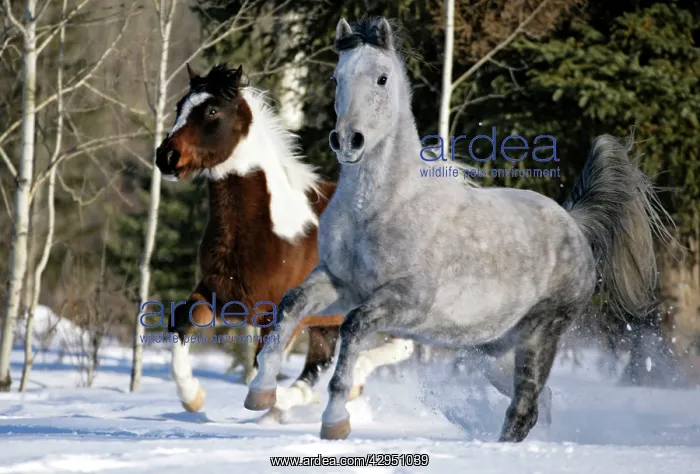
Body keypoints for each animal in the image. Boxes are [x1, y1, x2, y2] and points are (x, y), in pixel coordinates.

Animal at [154, 63, 414, 418]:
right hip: (327, 323)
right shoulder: (219, 295)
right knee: (320, 364)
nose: (166, 157)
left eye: (211, 110)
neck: (270, 231)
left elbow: (263, 366)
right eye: (181, 106)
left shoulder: (277, 314)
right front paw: (193, 397)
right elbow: (182, 323)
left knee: (400, 346)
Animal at [244, 17, 674, 442]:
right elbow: (291, 304)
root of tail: (574, 223)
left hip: (540, 333)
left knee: (525, 409)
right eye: (336, 78)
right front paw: (259, 393)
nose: (348, 140)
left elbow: (353, 328)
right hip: (493, 351)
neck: (381, 206)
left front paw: (335, 421)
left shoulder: (405, 301)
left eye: (382, 78)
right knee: (542, 401)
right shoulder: (340, 283)